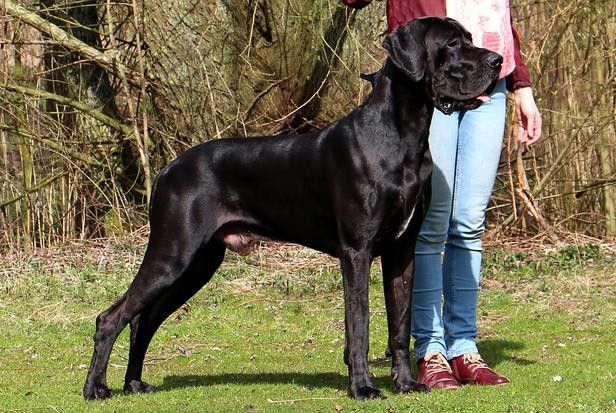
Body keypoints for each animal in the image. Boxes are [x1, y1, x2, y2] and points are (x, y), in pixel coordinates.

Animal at [83, 17, 502, 401]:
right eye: (451, 44)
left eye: (470, 38)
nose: (497, 60)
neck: (404, 136)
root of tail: (168, 168)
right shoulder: (357, 252)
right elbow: (360, 324)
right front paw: (362, 387)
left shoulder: (401, 250)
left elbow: (399, 323)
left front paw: (404, 383)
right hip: (174, 253)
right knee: (113, 317)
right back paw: (95, 388)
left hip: (198, 263)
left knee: (143, 320)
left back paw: (134, 383)